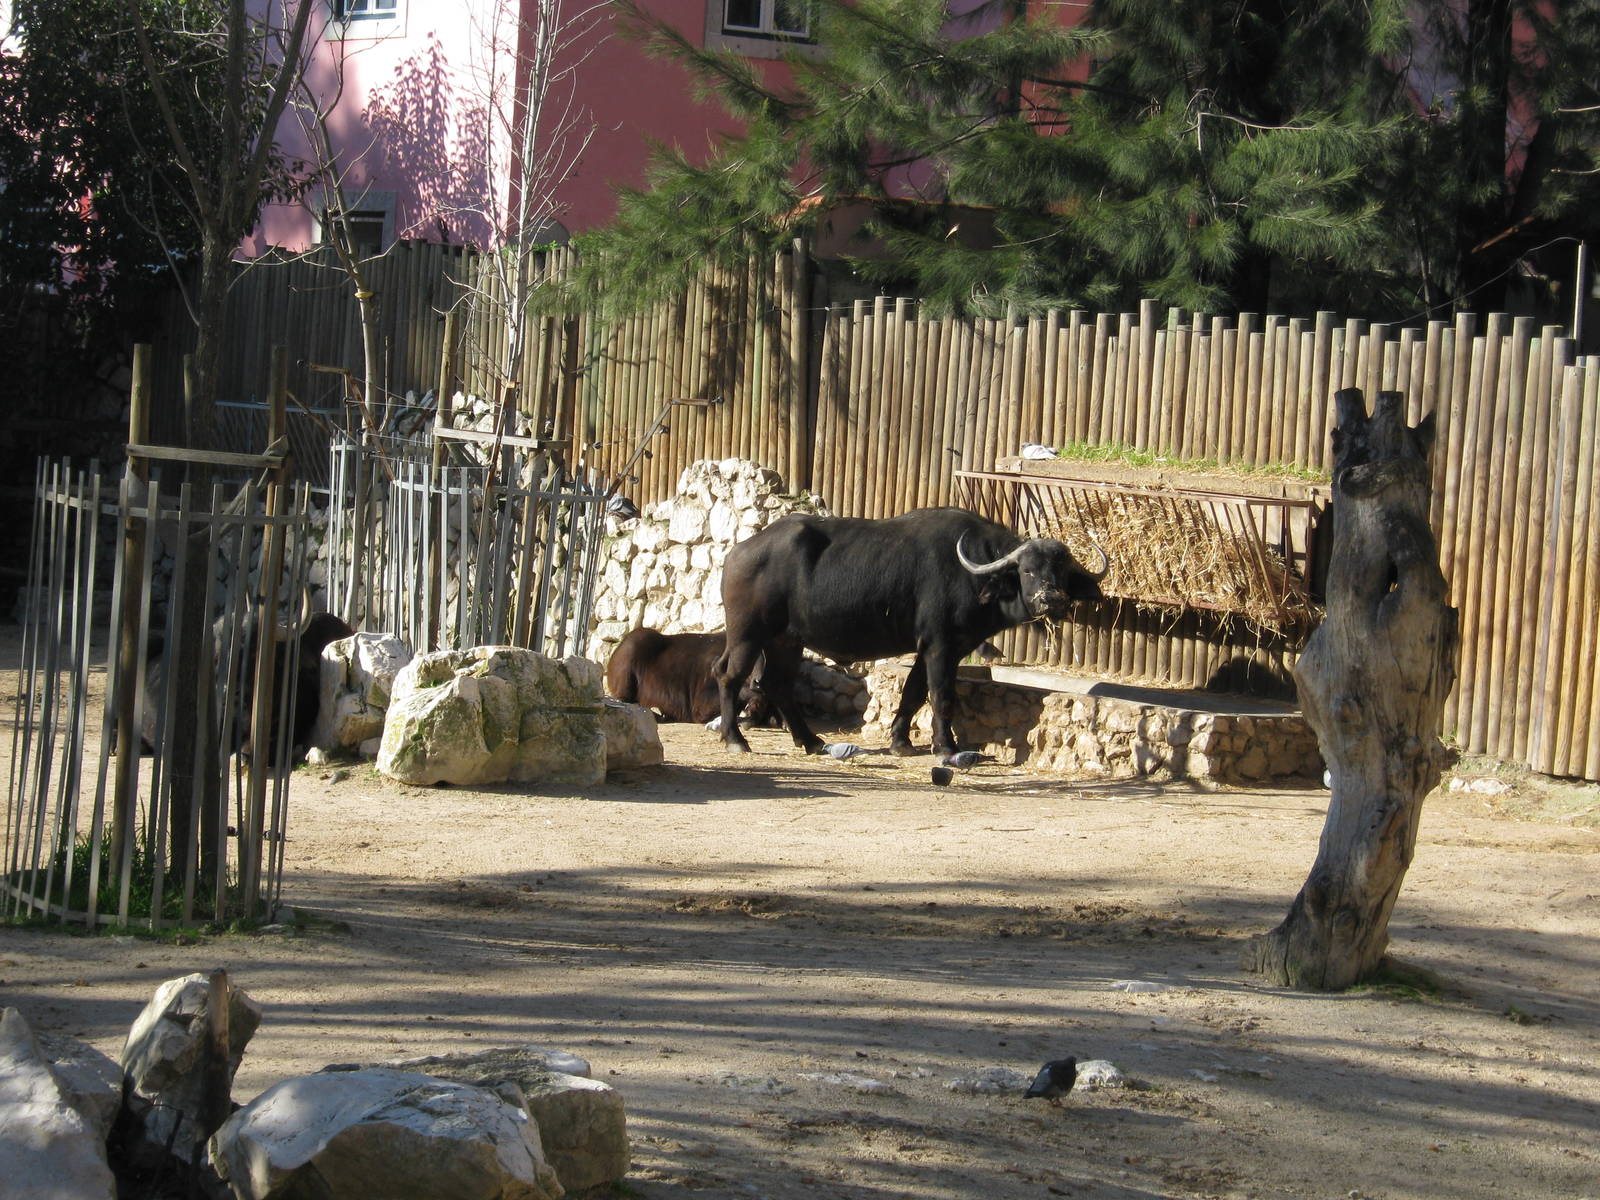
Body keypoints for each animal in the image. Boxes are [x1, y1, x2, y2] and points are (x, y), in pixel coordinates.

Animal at [714, 507, 1108, 759]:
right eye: (1027, 570)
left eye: (1062, 571)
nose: (1052, 599)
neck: (974, 573)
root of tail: (738, 552)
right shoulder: (941, 645)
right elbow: (940, 695)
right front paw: (946, 746)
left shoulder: (936, 647)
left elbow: (913, 692)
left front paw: (900, 742)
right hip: (747, 634)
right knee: (730, 676)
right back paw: (735, 738)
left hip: (786, 640)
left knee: (777, 683)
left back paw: (810, 741)